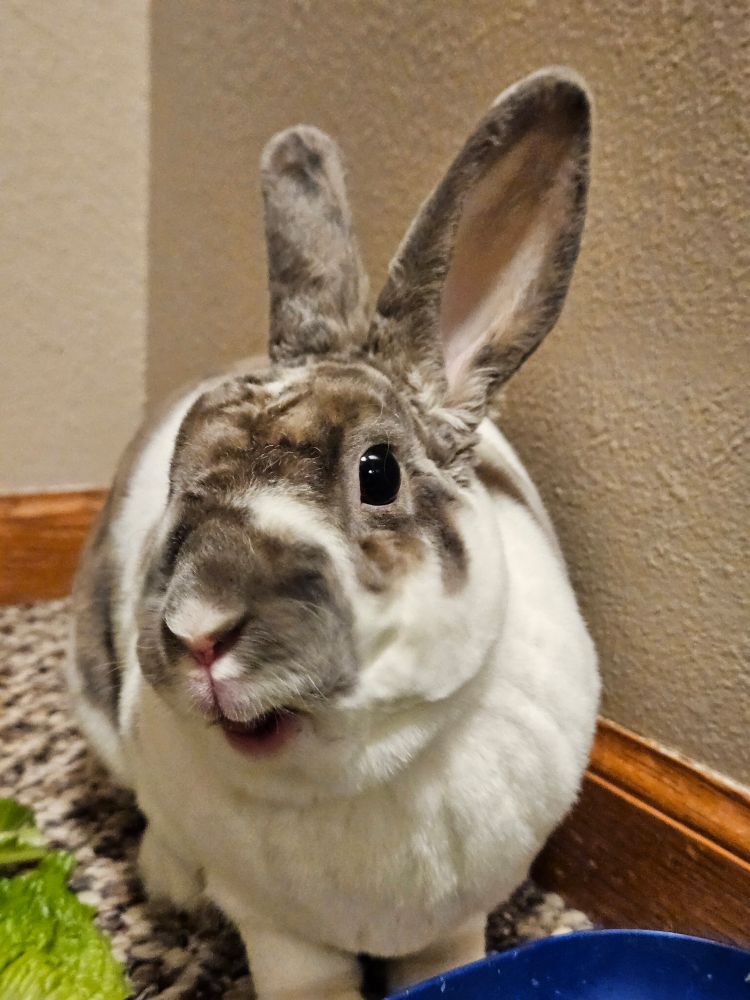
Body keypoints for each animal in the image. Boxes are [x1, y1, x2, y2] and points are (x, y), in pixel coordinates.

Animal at [68, 67, 600, 1000]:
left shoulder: (456, 917)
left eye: (377, 474)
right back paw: (168, 882)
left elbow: (451, 961)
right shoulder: (277, 929)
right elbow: (303, 979)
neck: (358, 768)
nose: (198, 630)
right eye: (179, 478)